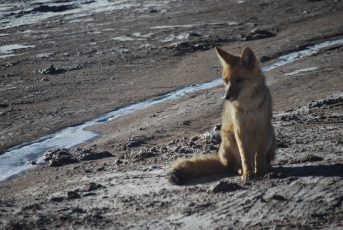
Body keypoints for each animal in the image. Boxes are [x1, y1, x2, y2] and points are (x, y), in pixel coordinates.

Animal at [169, 46, 276, 185]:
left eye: (239, 80)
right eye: (226, 81)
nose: (226, 97)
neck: (249, 106)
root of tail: (222, 160)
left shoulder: (261, 127)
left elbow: (259, 155)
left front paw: (261, 170)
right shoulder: (240, 129)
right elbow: (245, 156)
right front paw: (248, 173)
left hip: (270, 135)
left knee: (263, 158)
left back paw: (266, 166)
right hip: (230, 139)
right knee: (233, 166)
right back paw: (241, 170)